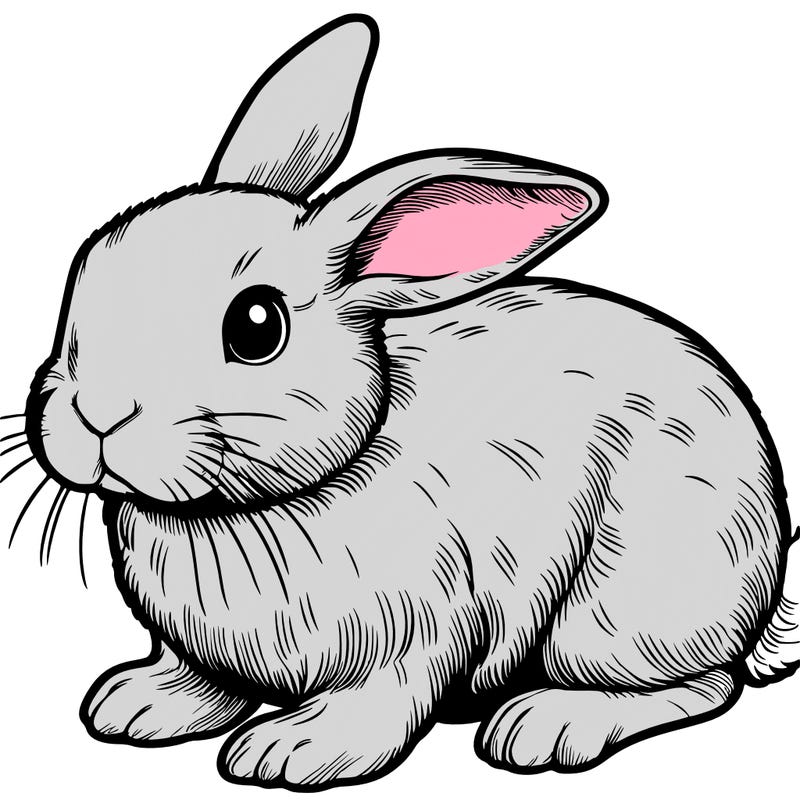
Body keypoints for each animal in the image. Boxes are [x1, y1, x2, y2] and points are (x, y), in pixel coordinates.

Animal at [14, 12, 799, 792]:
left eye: (256, 326)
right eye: (85, 271)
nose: (96, 414)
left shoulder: (418, 630)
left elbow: (381, 702)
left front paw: (292, 751)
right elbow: (202, 681)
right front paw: (136, 705)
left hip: (619, 612)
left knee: (703, 685)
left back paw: (545, 726)